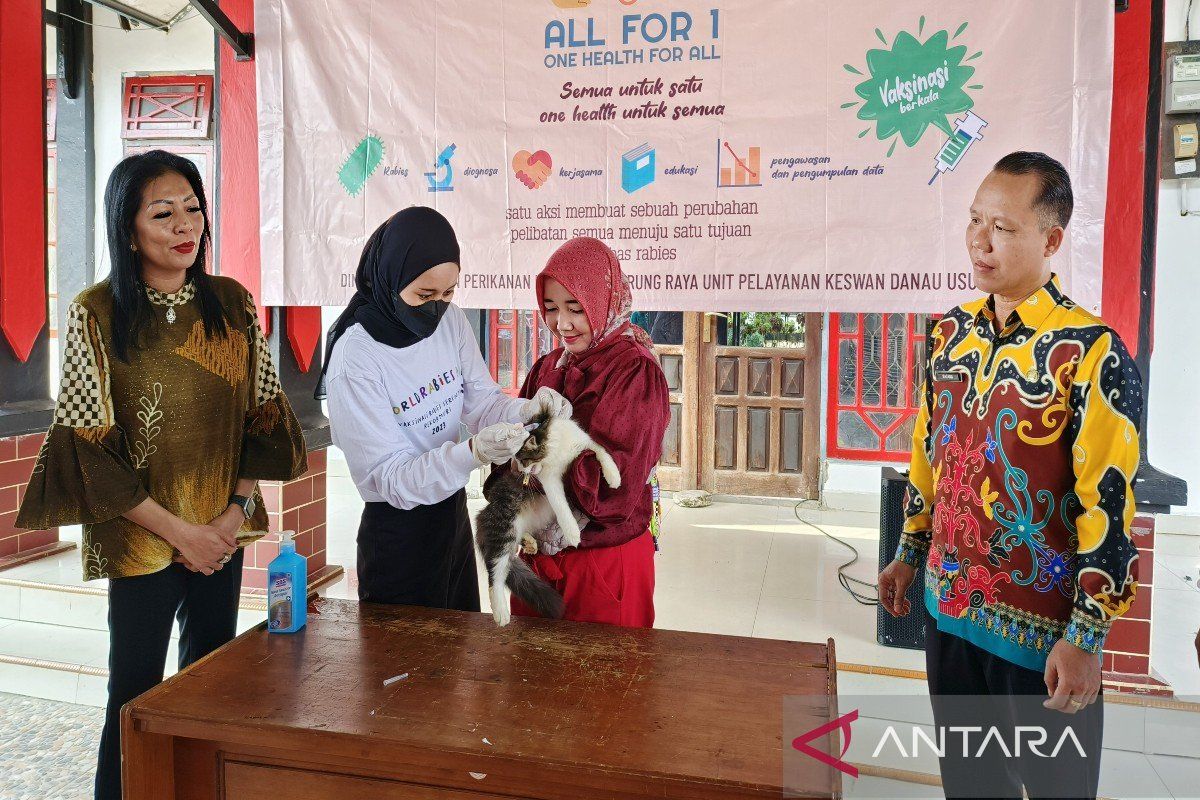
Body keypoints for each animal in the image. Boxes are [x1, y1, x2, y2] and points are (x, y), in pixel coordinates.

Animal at [475, 410, 624, 628]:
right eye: (515, 461)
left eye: (523, 460)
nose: (520, 471)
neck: (556, 449)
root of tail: (484, 513)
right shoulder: (549, 480)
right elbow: (561, 506)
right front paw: (572, 531)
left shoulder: (584, 443)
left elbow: (602, 452)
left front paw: (614, 476)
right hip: (505, 526)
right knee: (496, 572)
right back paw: (501, 612)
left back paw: (529, 542)